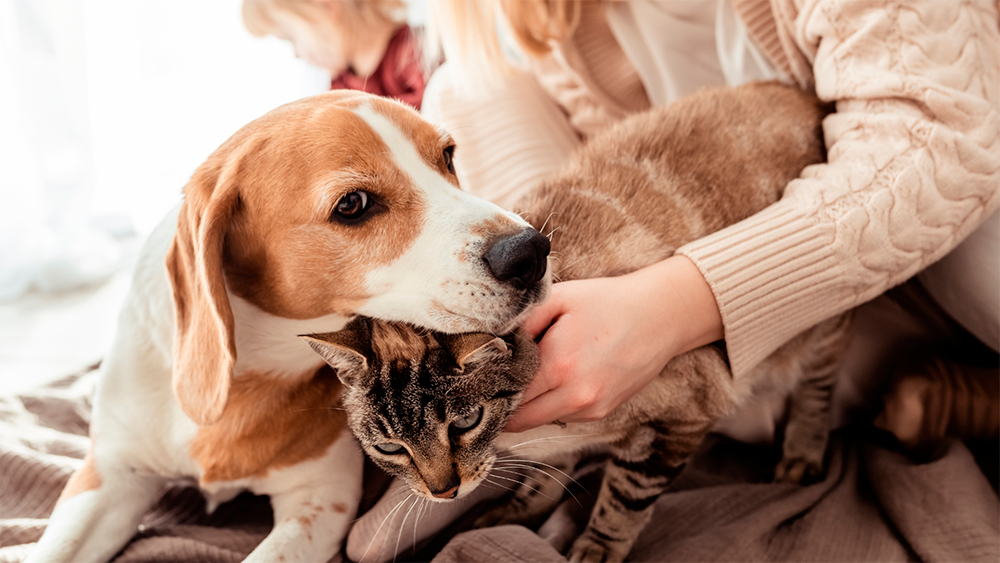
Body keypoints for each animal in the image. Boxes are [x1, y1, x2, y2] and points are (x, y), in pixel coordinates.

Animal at [27, 92, 556, 563]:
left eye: (447, 155)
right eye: (353, 204)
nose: (530, 251)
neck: (245, 379)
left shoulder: (319, 501)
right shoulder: (108, 480)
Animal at [304, 81, 852, 560]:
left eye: (464, 423)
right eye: (390, 448)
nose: (445, 493)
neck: (516, 427)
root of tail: (805, 96)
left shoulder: (678, 422)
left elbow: (622, 502)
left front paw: (594, 550)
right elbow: (548, 476)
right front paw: (513, 513)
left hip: (818, 328)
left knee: (819, 385)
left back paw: (802, 454)